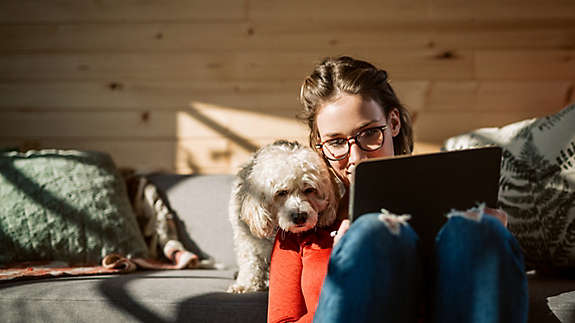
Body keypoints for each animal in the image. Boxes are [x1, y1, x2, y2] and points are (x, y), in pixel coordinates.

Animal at [227, 140, 340, 294]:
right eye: (281, 192)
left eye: (309, 189)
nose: (300, 217)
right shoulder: (248, 240)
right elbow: (250, 262)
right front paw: (245, 285)